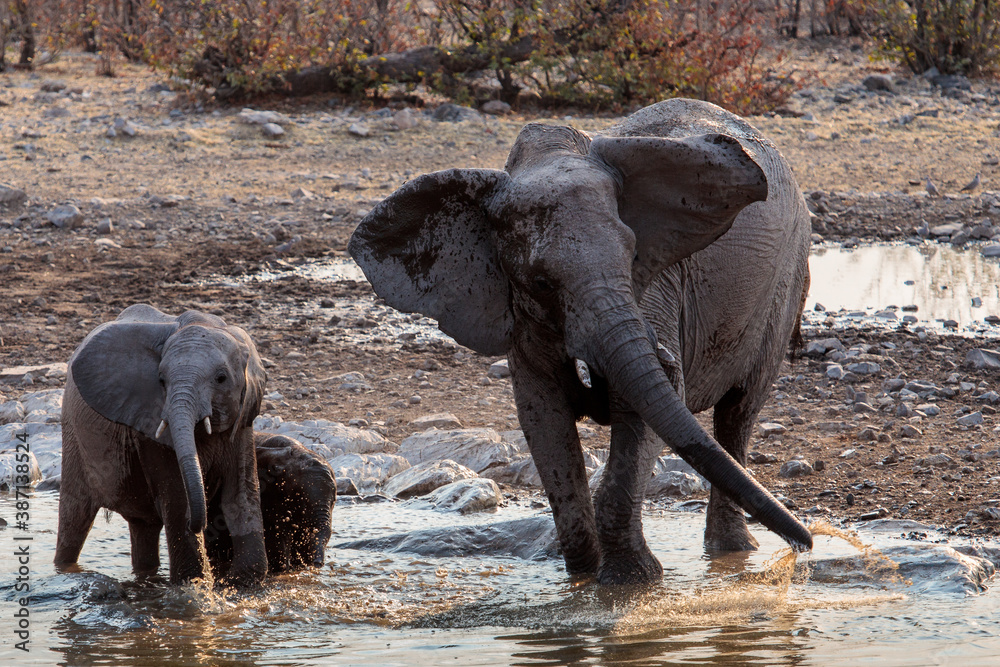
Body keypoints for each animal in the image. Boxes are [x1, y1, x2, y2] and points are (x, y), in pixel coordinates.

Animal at [54, 304, 268, 588]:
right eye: (161, 381)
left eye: (221, 378)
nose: (200, 524)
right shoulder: (150, 423)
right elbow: (178, 500)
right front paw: (195, 587)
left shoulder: (243, 420)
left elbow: (240, 495)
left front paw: (240, 583)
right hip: (72, 435)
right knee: (74, 518)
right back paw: (64, 572)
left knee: (143, 527)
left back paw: (146, 576)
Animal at [349, 98, 813, 585]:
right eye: (540, 282)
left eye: (632, 255)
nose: (807, 544)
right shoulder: (522, 316)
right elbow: (543, 418)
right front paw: (582, 581)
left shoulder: (657, 286)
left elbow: (644, 410)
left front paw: (630, 583)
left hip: (784, 283)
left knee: (738, 413)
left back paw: (732, 552)